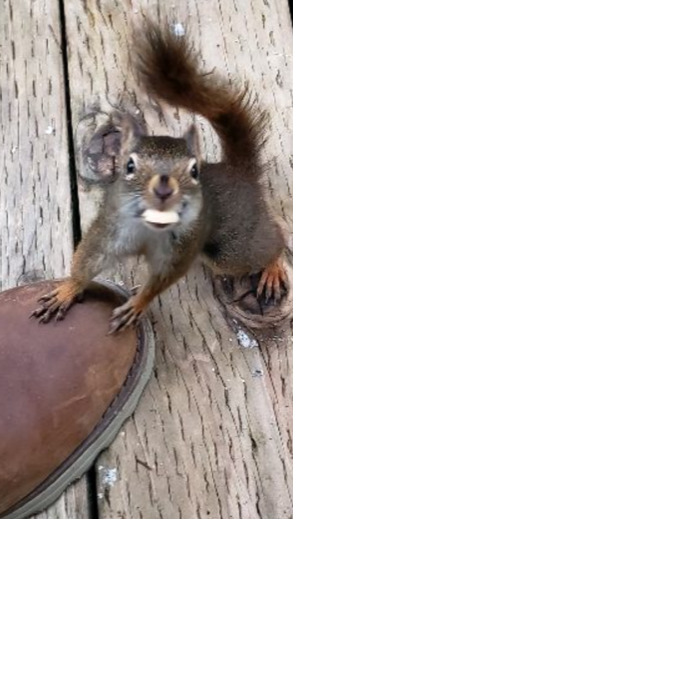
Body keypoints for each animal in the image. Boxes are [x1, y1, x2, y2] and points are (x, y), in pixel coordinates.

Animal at [33, 21, 290, 333]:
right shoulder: (109, 230)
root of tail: (236, 171)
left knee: (271, 242)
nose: (164, 190)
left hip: (233, 246)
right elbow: (87, 260)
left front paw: (138, 304)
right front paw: (67, 290)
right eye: (129, 166)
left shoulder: (181, 248)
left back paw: (273, 266)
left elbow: (161, 280)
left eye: (193, 170)